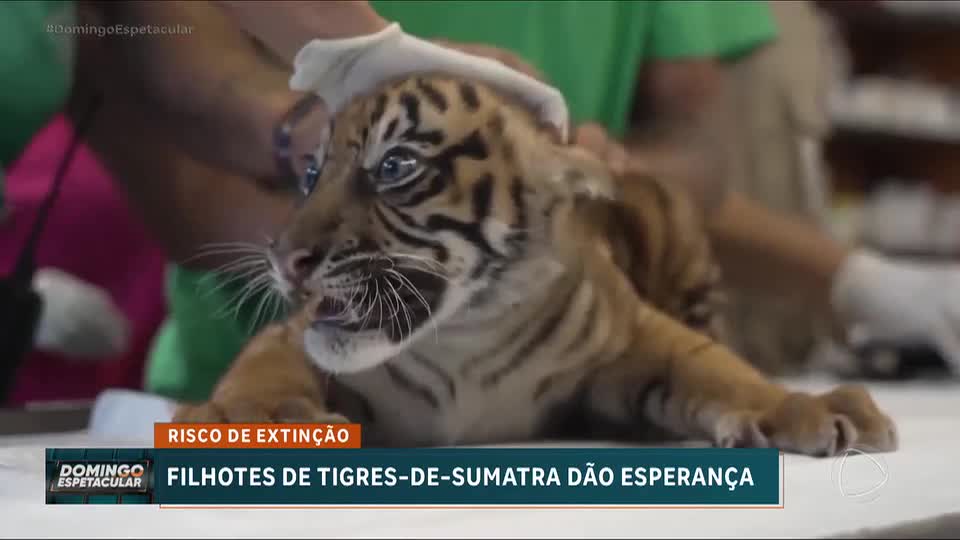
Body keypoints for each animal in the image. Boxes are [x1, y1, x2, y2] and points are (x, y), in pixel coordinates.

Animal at [174, 73, 898, 457]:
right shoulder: (296, 336)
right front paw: (248, 420)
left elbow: (719, 368)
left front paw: (807, 405)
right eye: (309, 175)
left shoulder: (637, 334)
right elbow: (263, 367)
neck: (462, 337)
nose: (284, 257)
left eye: (395, 166)